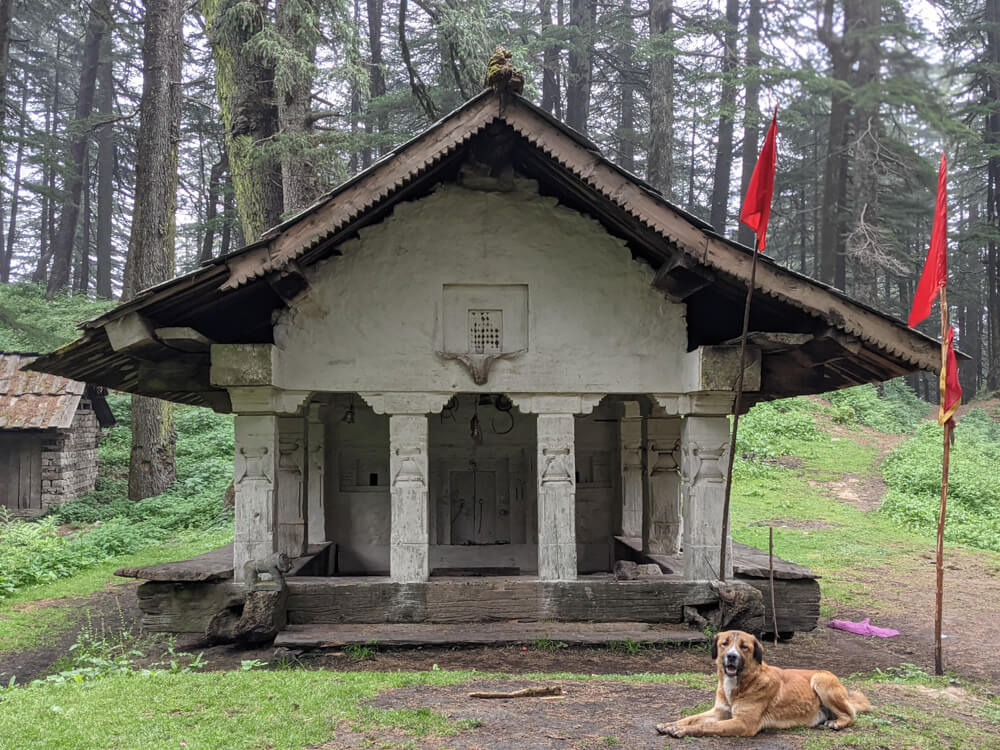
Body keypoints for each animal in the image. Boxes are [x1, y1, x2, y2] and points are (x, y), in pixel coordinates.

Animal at [656, 628, 868, 740]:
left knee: (851, 715)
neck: (741, 683)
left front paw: (681, 730)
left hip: (821, 679)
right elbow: (691, 718)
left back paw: (838, 723)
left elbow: (705, 726)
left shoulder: (743, 723)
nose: (731, 656)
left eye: (744, 647)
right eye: (725, 643)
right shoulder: (720, 712)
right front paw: (671, 724)